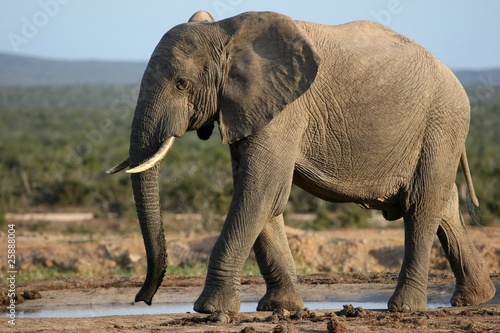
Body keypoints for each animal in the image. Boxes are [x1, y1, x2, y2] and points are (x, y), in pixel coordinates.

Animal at [106, 9, 496, 312]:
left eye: (182, 84)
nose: (143, 299)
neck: (225, 32)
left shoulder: (285, 110)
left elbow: (259, 191)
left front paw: (210, 311)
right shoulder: (248, 107)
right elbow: (262, 196)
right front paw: (280, 307)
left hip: (441, 123)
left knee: (421, 206)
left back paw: (405, 307)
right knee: (444, 206)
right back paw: (475, 299)